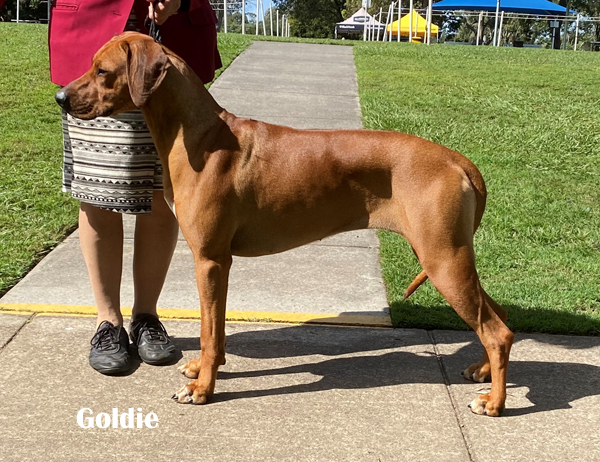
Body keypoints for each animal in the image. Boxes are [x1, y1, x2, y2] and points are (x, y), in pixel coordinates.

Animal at [56, 31, 512, 416]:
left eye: (102, 70)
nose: (60, 96)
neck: (198, 134)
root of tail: (458, 160)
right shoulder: (220, 263)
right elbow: (214, 328)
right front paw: (203, 368)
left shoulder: (209, 259)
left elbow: (208, 329)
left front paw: (203, 389)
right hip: (448, 255)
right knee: (498, 317)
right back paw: (482, 372)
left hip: (442, 257)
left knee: (496, 331)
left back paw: (494, 401)